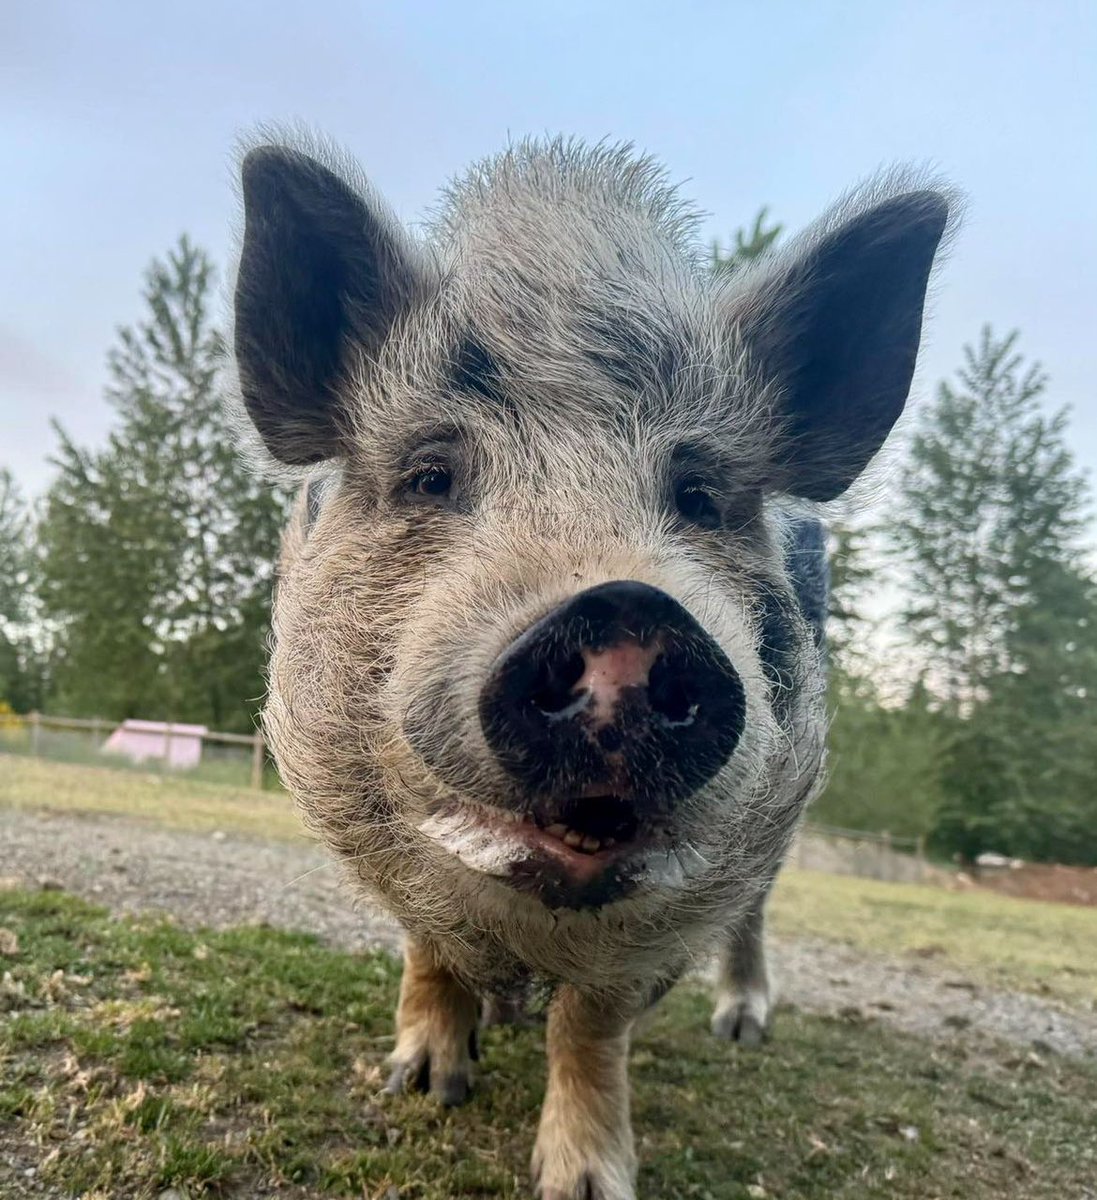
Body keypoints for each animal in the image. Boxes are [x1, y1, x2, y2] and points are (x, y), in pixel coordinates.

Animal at [230, 133, 950, 1200]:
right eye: (430, 475)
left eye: (698, 497)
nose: (624, 611)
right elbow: (425, 940)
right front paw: (423, 1084)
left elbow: (591, 1023)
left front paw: (584, 1180)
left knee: (754, 913)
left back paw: (742, 1028)